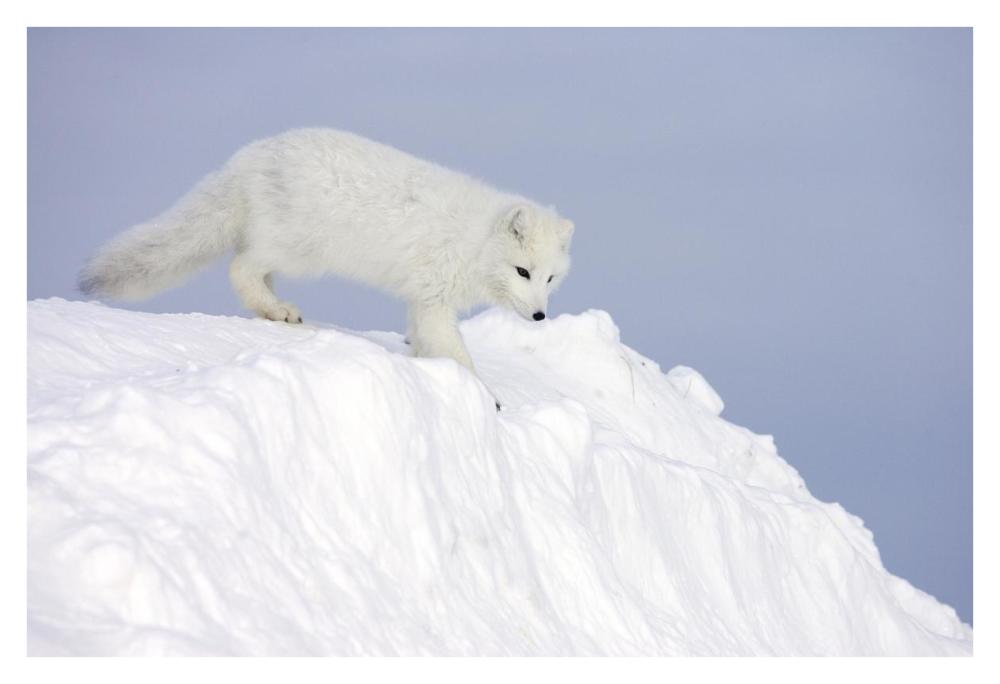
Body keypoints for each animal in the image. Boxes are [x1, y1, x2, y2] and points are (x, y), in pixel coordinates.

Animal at [79, 128, 574, 405]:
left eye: (550, 278)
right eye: (522, 272)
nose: (539, 316)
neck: (474, 242)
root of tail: (252, 154)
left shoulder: (420, 298)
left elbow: (422, 341)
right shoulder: (435, 298)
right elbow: (458, 355)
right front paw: (486, 398)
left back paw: (272, 310)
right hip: (299, 251)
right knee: (240, 267)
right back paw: (279, 310)